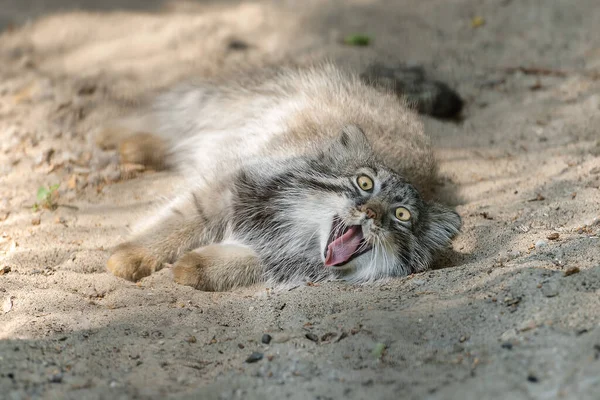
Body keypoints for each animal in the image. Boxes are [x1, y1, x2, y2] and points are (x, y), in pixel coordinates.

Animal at [101, 65, 462, 290]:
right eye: (364, 183)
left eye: (402, 215)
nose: (370, 212)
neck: (299, 231)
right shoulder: (225, 189)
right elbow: (176, 224)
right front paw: (133, 255)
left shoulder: (278, 258)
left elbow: (243, 263)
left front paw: (196, 267)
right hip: (212, 104)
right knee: (153, 116)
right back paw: (116, 136)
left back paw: (136, 148)